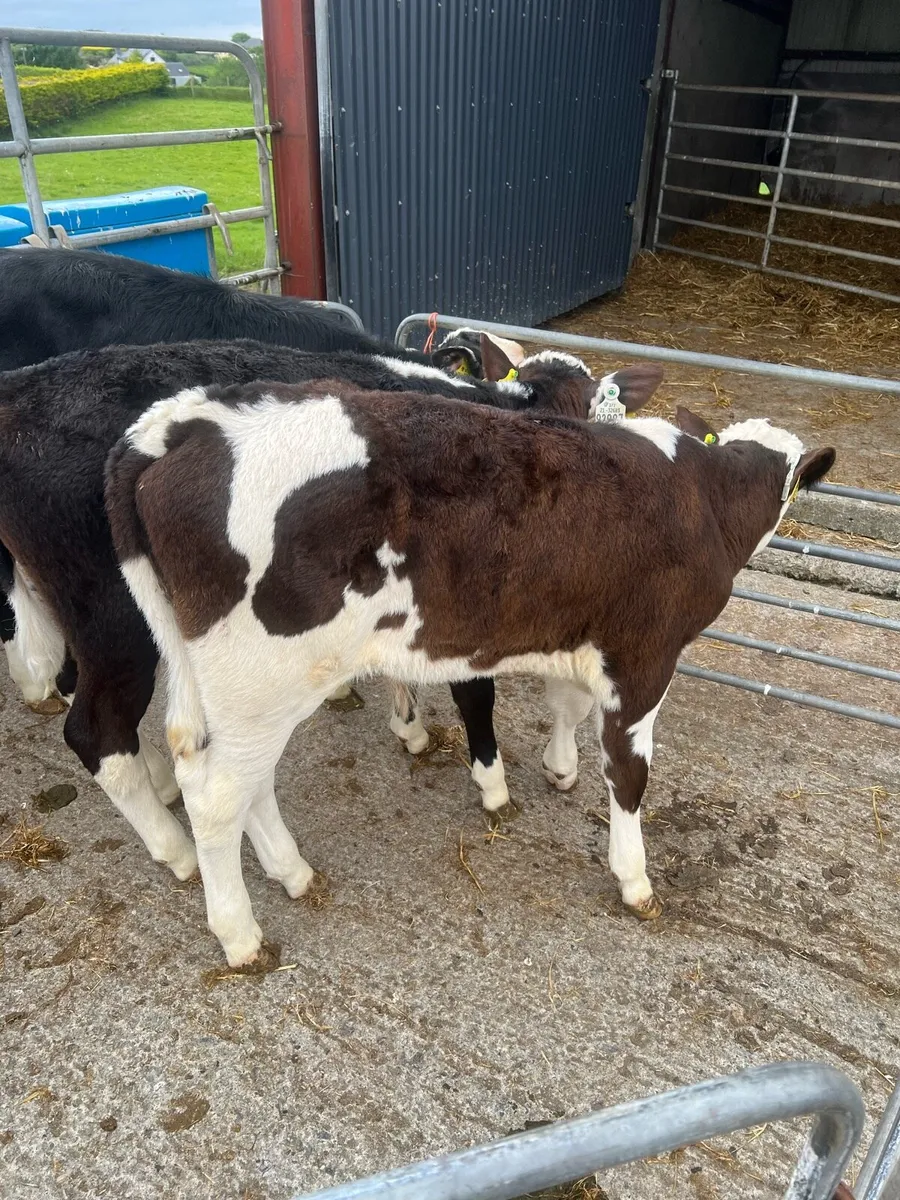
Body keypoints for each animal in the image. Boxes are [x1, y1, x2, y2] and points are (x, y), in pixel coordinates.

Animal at [0, 337, 653, 881]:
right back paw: (178, 850)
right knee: (95, 730)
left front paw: (412, 725)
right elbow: (478, 694)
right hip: (115, 622)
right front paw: (492, 783)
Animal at [105, 381, 835, 965]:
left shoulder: (575, 627)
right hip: (262, 677)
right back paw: (239, 933)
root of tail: (184, 421)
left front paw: (559, 767)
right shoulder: (645, 655)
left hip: (226, 684)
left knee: (229, 775)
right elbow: (628, 774)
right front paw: (634, 879)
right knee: (216, 795)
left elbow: (566, 704)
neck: (704, 495)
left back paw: (291, 871)